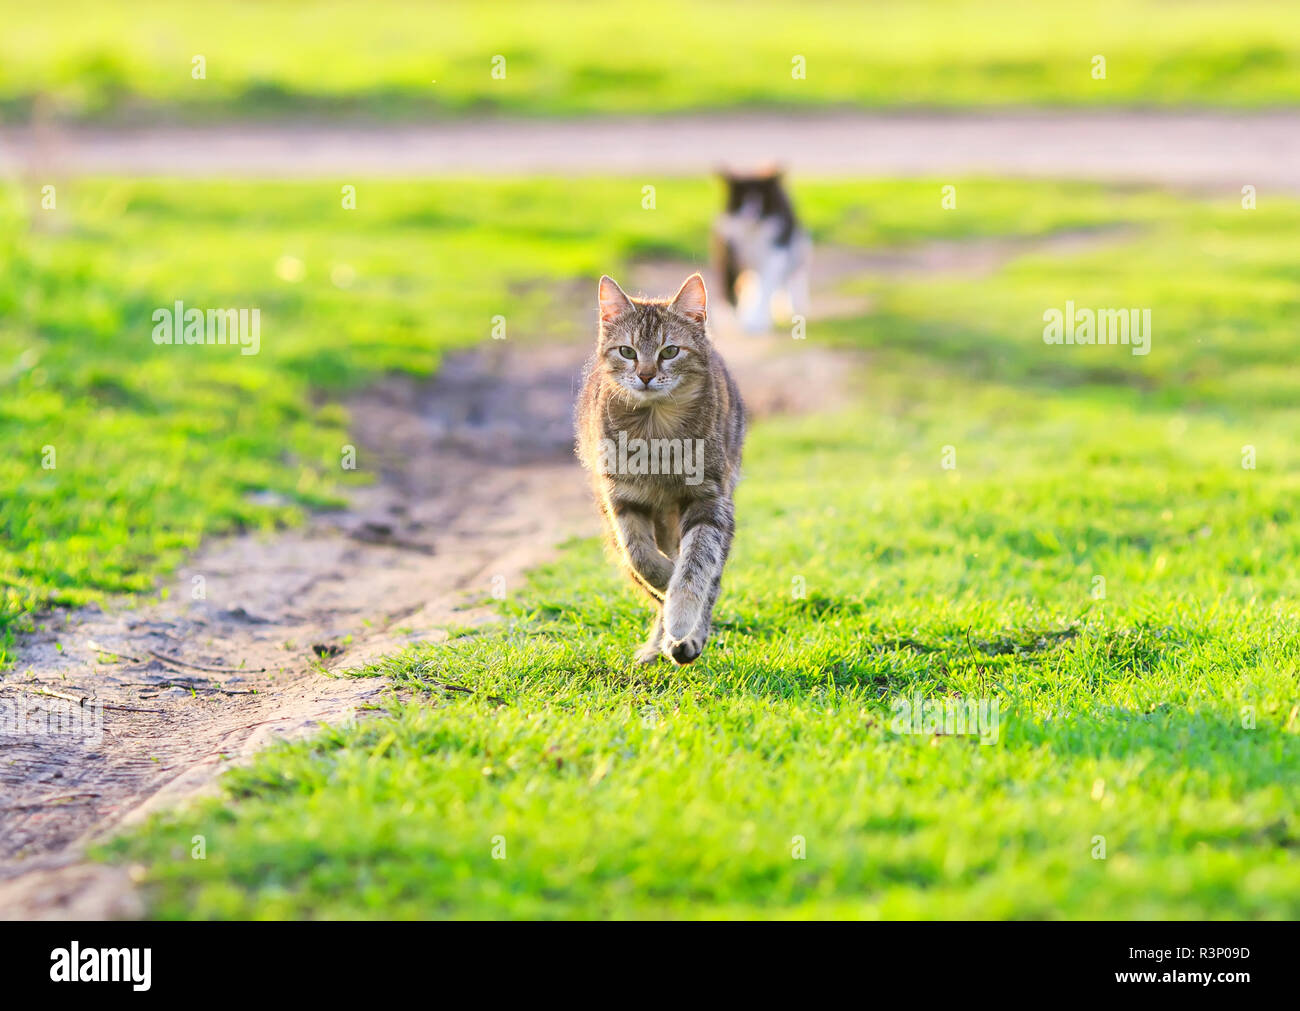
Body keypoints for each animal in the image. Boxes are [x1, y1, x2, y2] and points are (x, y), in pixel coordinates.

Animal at [577, 271, 748, 665]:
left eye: (669, 351)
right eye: (627, 351)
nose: (645, 375)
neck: (656, 430)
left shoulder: (709, 500)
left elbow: (696, 566)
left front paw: (681, 610)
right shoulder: (620, 498)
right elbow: (639, 556)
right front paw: (665, 581)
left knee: (711, 578)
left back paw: (685, 640)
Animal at [712, 167, 811, 332]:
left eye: (762, 199)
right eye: (741, 198)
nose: (750, 215)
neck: (752, 231)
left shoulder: (775, 253)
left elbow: (766, 287)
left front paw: (757, 321)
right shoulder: (728, 251)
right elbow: (728, 285)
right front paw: (729, 319)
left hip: (797, 248)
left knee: (793, 274)